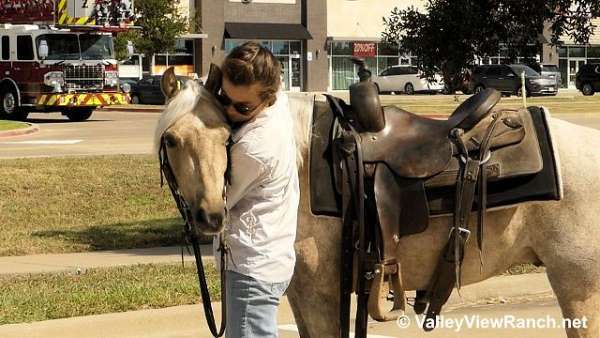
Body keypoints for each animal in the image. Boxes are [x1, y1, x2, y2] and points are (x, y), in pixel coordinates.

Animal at [155, 69, 600, 338]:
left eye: (226, 136)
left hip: (580, 286)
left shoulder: (320, 291)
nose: (211, 215)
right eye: (172, 139)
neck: (300, 158)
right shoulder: (303, 292)